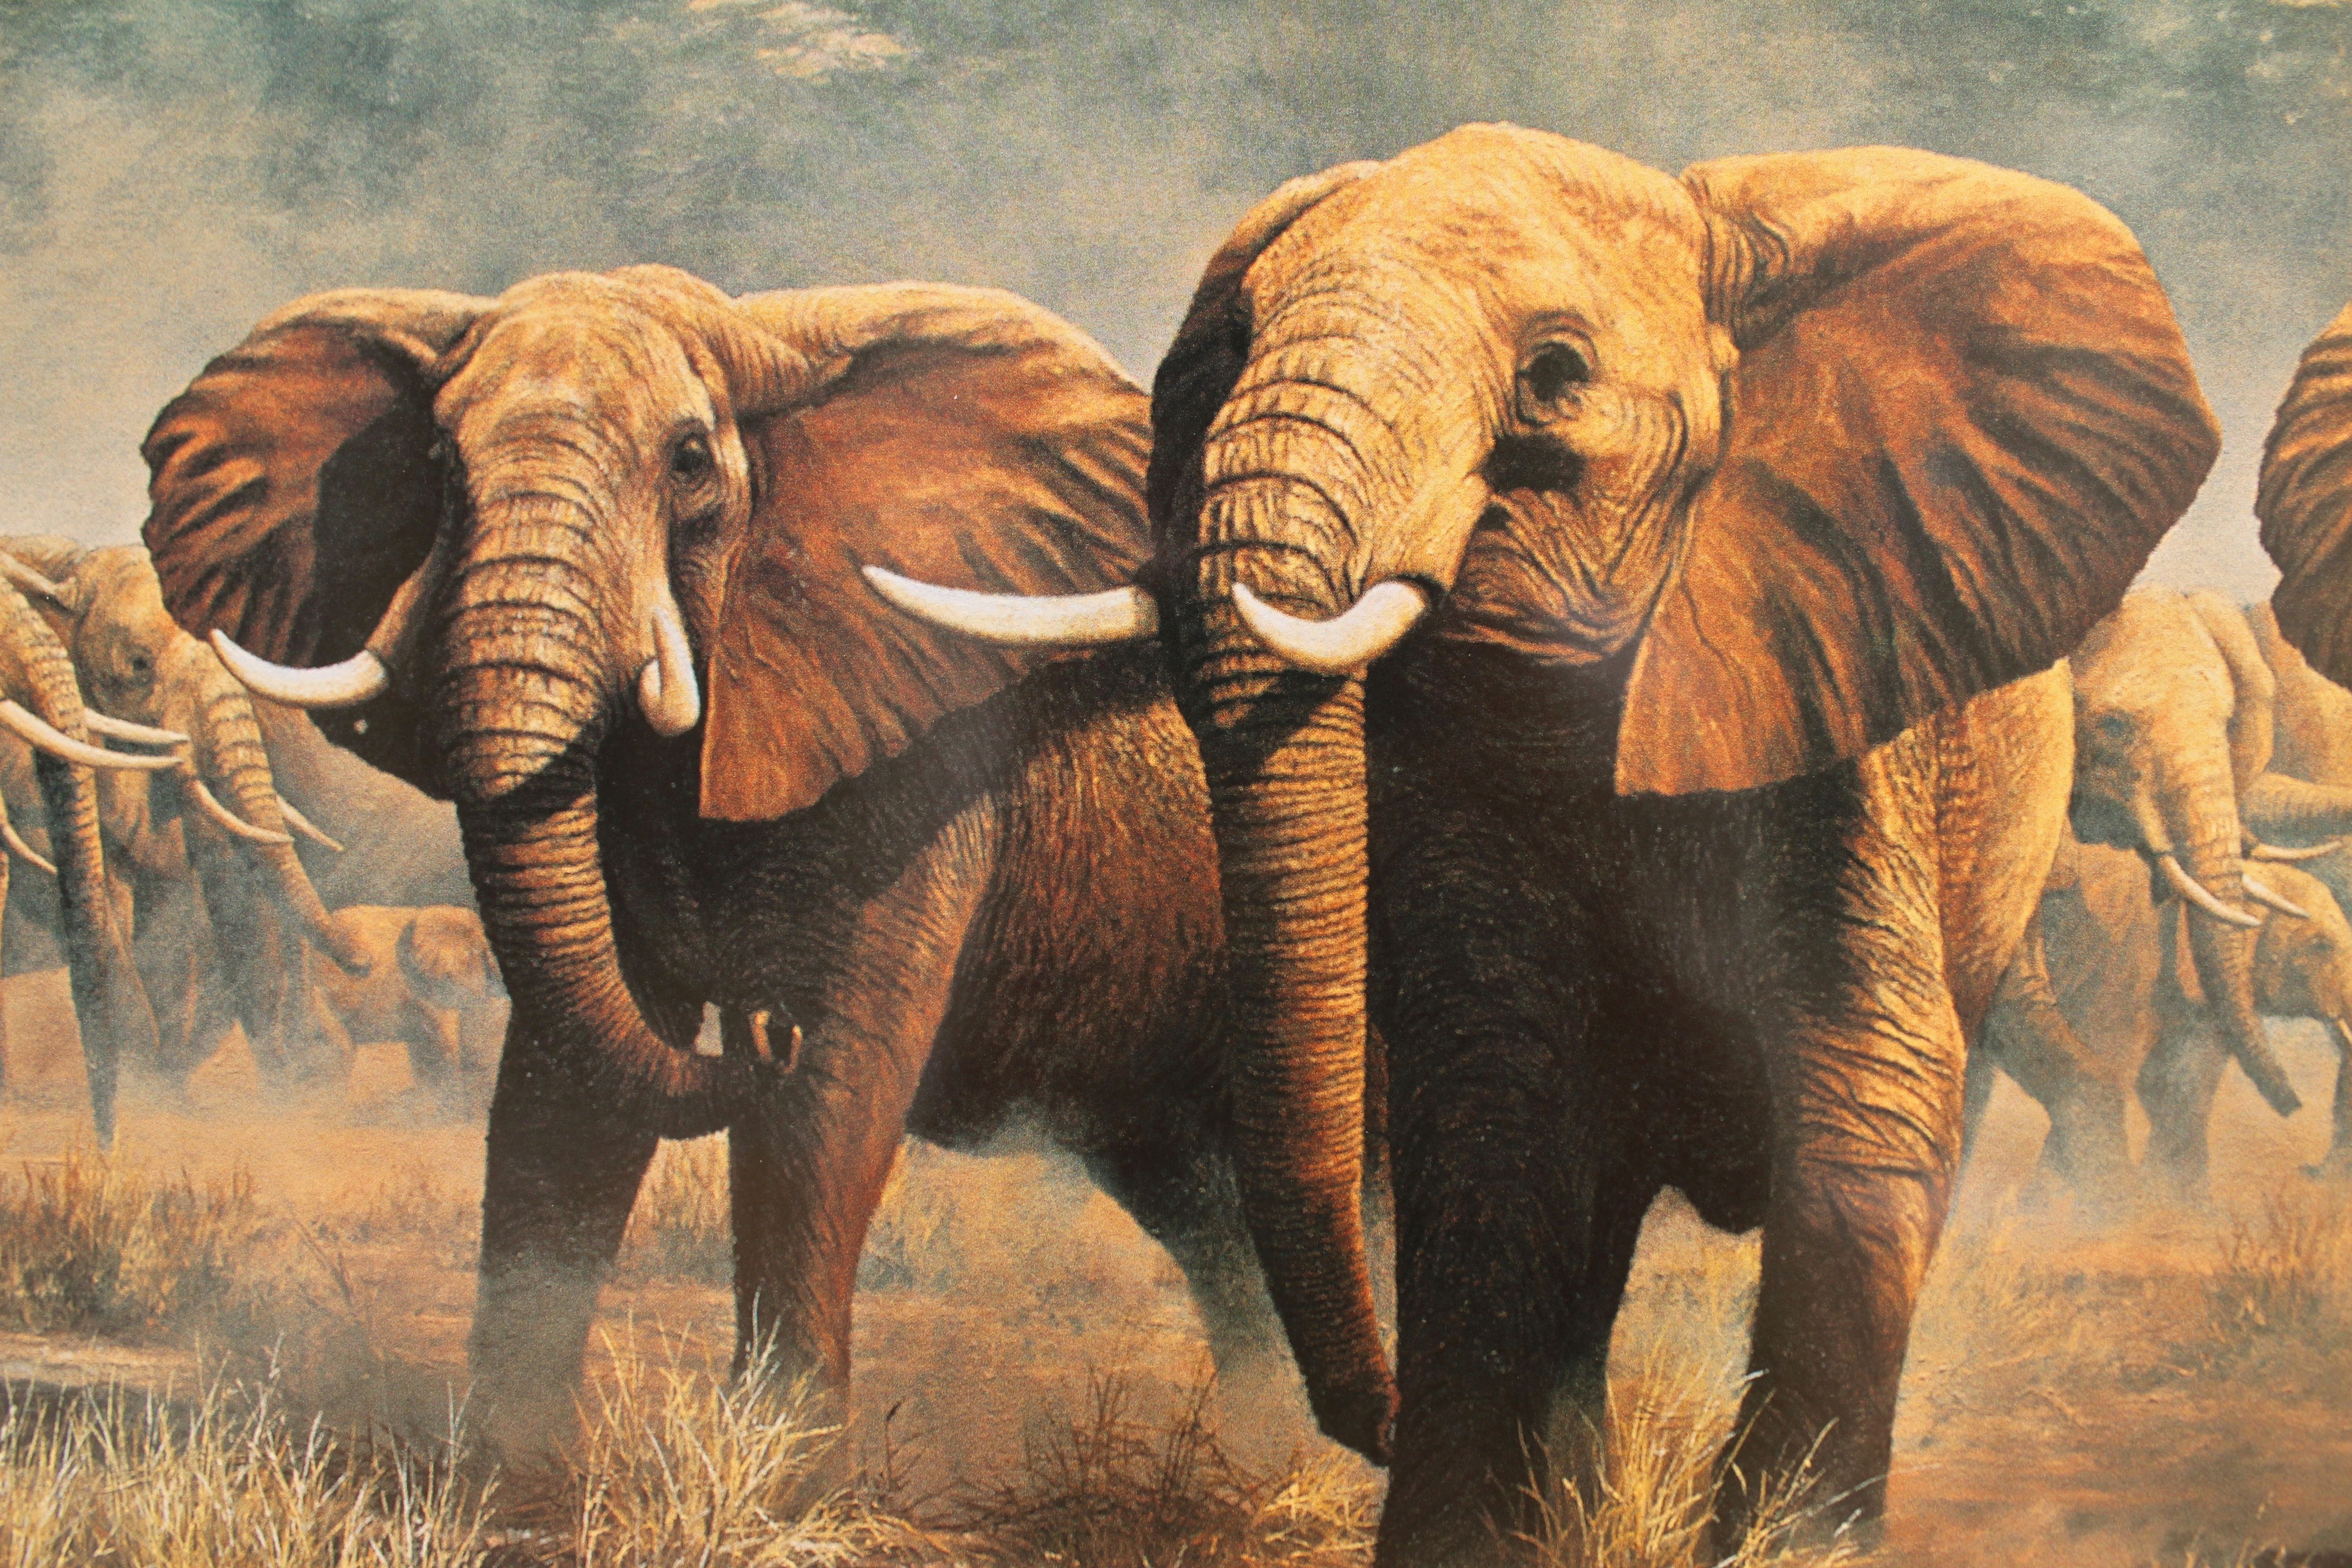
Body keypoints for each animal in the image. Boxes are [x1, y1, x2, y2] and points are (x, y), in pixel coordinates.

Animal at [870, 128, 2220, 1559]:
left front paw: (1777, 1543)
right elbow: (1498, 1128)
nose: (1375, 1416)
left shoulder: (1843, 710)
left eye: (1555, 376)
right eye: (1228, 344)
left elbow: (1868, 1091)